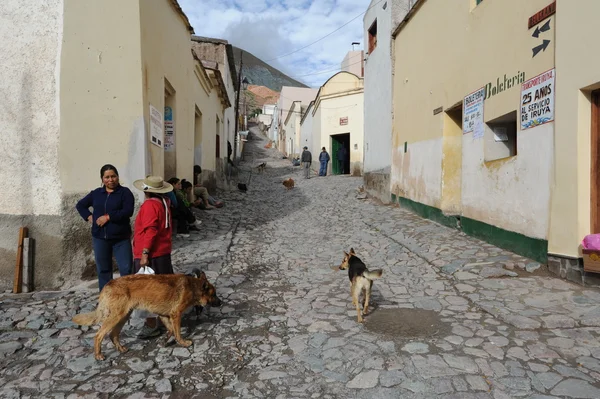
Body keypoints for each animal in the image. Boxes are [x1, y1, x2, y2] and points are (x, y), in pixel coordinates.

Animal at [72, 270, 221, 360]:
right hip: (116, 316)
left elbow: (171, 330)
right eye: (214, 294)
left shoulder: (164, 315)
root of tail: (109, 284)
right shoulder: (176, 315)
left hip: (123, 316)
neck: (193, 286)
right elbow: (177, 332)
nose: (221, 302)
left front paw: (165, 340)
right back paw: (98, 354)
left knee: (113, 334)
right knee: (99, 335)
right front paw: (183, 342)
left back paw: (121, 349)